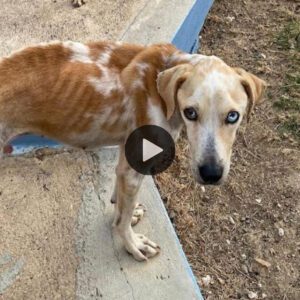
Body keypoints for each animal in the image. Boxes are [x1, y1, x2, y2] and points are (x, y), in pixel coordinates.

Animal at [0, 39, 268, 260]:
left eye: (233, 116)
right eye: (190, 112)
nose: (211, 174)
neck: (161, 83)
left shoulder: (125, 158)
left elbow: (120, 204)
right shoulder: (135, 169)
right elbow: (122, 220)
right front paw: (133, 245)